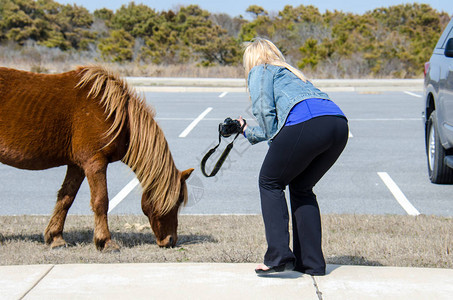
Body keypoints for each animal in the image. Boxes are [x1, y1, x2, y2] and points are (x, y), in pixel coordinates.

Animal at [0, 65, 192, 251]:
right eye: (177, 200)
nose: (170, 241)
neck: (115, 113)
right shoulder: (95, 163)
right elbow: (101, 201)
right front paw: (105, 242)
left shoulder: (77, 166)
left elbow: (66, 198)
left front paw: (55, 238)